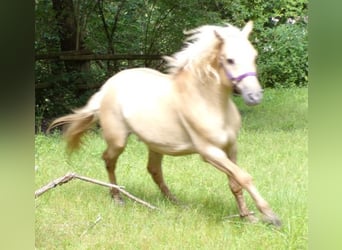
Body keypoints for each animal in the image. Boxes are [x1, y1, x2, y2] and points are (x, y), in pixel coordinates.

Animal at [48, 20, 280, 226]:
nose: (254, 96)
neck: (210, 103)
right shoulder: (209, 152)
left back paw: (175, 202)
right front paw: (270, 216)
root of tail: (107, 87)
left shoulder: (231, 147)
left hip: (156, 144)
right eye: (230, 60)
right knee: (109, 160)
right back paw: (117, 197)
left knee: (153, 170)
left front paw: (248, 217)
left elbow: (235, 183)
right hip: (118, 140)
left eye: (254, 56)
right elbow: (244, 177)